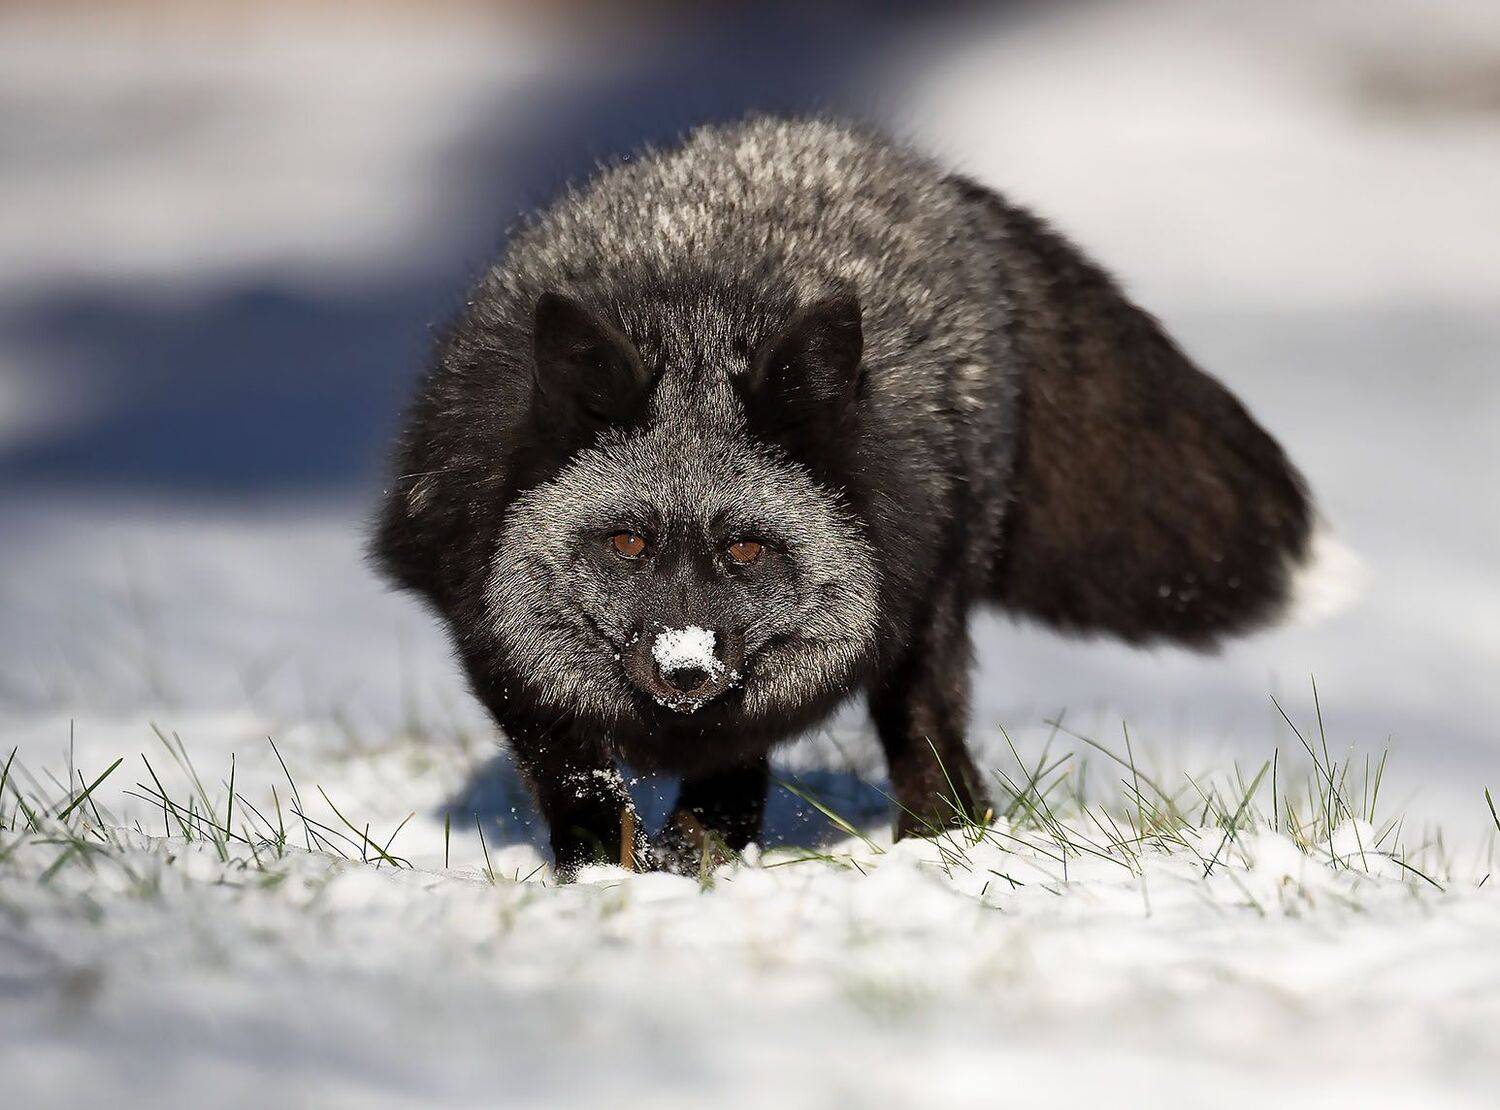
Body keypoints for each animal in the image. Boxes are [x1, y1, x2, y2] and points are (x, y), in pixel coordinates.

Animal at [373, 116, 1316, 878]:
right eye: (627, 543)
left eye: (746, 549)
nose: (685, 666)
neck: (693, 310)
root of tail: (915, 167)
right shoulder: (486, 623)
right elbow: (573, 773)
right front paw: (608, 871)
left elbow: (734, 767)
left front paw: (690, 858)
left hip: (932, 600)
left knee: (925, 729)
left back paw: (941, 839)